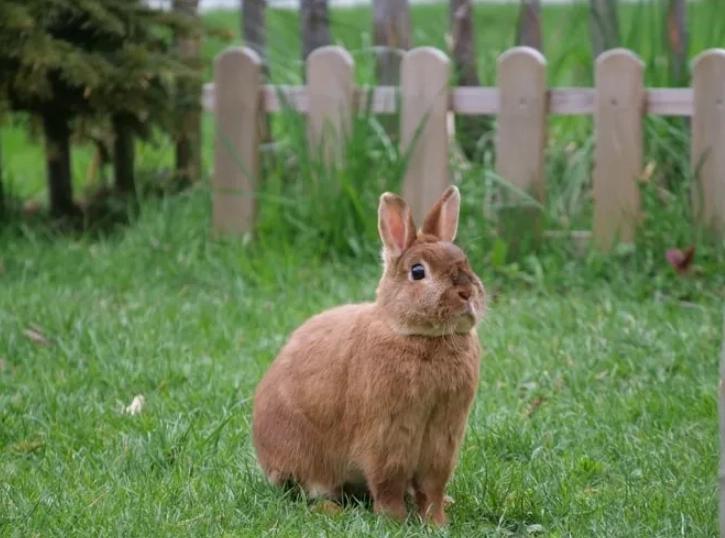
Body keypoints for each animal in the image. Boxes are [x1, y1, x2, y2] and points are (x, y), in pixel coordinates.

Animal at [251, 185, 486, 526]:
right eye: (418, 272)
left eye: (465, 261)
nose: (468, 293)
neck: (419, 336)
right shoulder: (387, 437)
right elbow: (388, 483)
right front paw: (394, 521)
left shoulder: (443, 439)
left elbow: (432, 486)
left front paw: (436, 522)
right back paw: (330, 509)